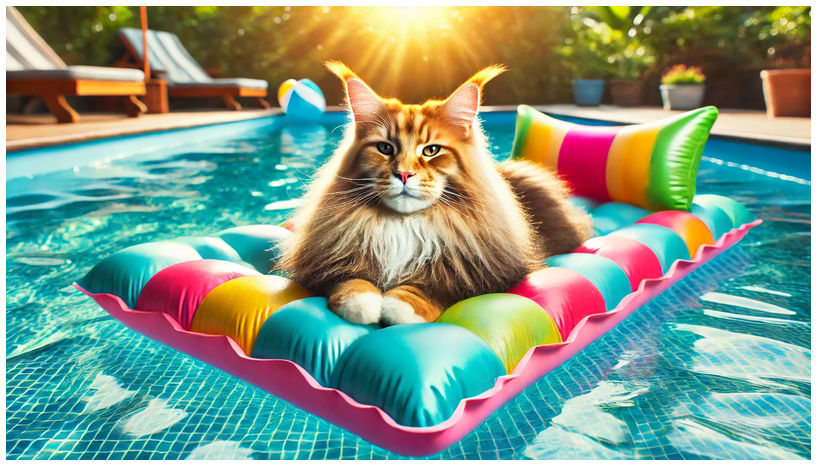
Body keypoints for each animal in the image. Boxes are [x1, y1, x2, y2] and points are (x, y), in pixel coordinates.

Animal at [276, 61, 592, 324]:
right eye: (385, 148)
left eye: (431, 151)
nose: (404, 174)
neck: (403, 225)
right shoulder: (332, 262)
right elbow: (350, 281)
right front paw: (362, 304)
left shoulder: (474, 276)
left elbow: (430, 289)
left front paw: (400, 305)